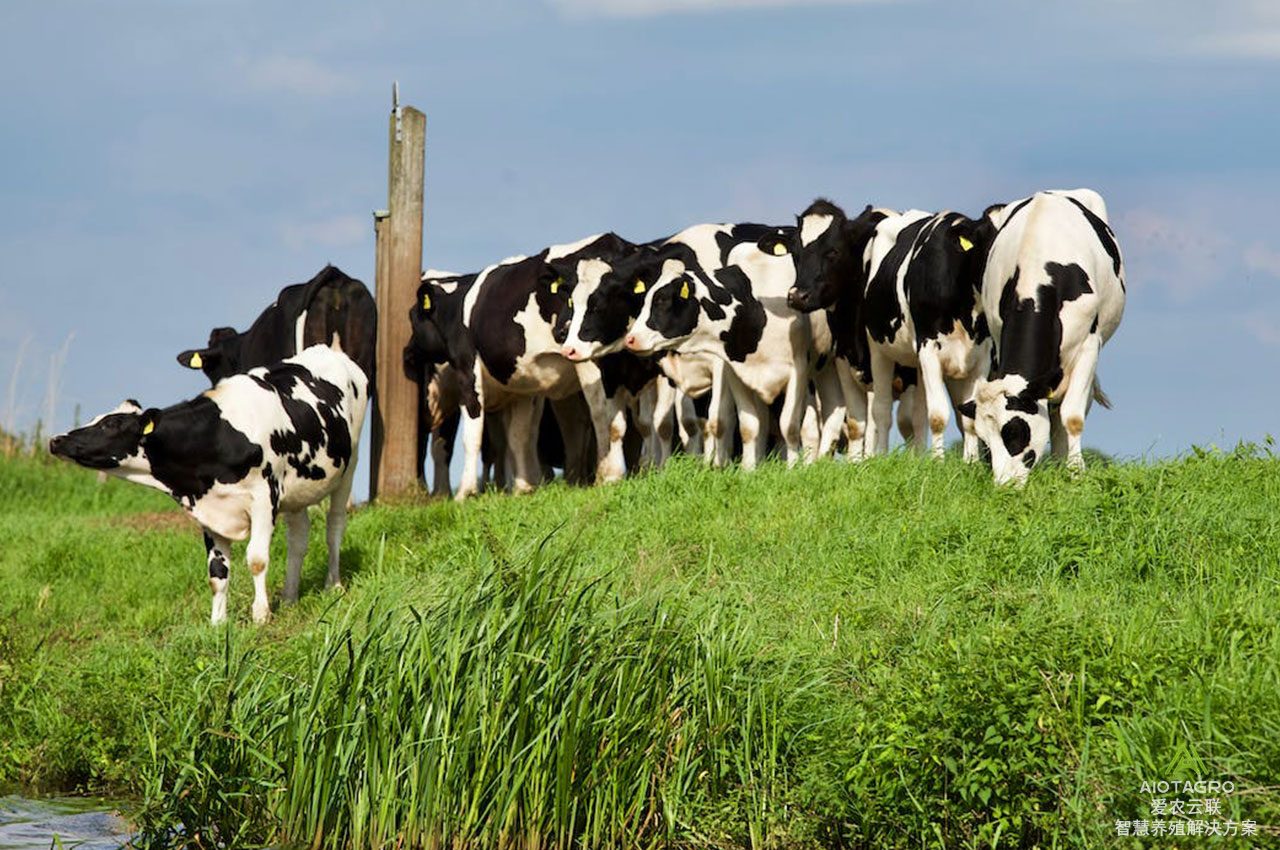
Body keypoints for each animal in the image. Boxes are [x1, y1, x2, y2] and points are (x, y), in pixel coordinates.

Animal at [49, 345, 368, 624]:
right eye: (95, 418)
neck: (219, 436)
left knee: (334, 527)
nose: (56, 440)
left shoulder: (264, 499)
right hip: (297, 492)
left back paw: (333, 585)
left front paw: (260, 616)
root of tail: (328, 351)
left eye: (110, 425)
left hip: (348, 468)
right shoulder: (210, 507)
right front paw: (217, 623)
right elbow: (217, 573)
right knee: (299, 538)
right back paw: (290, 597)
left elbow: (257, 559)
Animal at [783, 198, 993, 460]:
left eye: (833, 251)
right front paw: (863, 462)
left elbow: (956, 416)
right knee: (886, 413)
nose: (797, 296)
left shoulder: (979, 355)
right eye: (795, 254)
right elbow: (865, 421)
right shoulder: (848, 357)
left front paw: (965, 463)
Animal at [962, 189, 1131, 489]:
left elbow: (1072, 416)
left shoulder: (1089, 346)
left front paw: (1075, 473)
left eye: (1015, 431)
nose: (1004, 485)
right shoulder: (998, 337)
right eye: (986, 440)